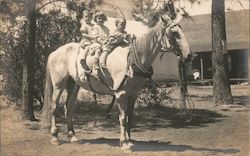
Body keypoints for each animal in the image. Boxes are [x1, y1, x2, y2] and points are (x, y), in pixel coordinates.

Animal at [41, 14, 191, 149]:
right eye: (175, 33)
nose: (189, 55)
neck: (132, 59)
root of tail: (54, 52)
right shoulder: (121, 94)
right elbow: (123, 118)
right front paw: (124, 143)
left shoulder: (133, 94)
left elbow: (130, 117)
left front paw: (129, 140)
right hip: (59, 84)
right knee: (54, 106)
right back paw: (55, 137)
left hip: (73, 85)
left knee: (69, 108)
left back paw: (72, 136)